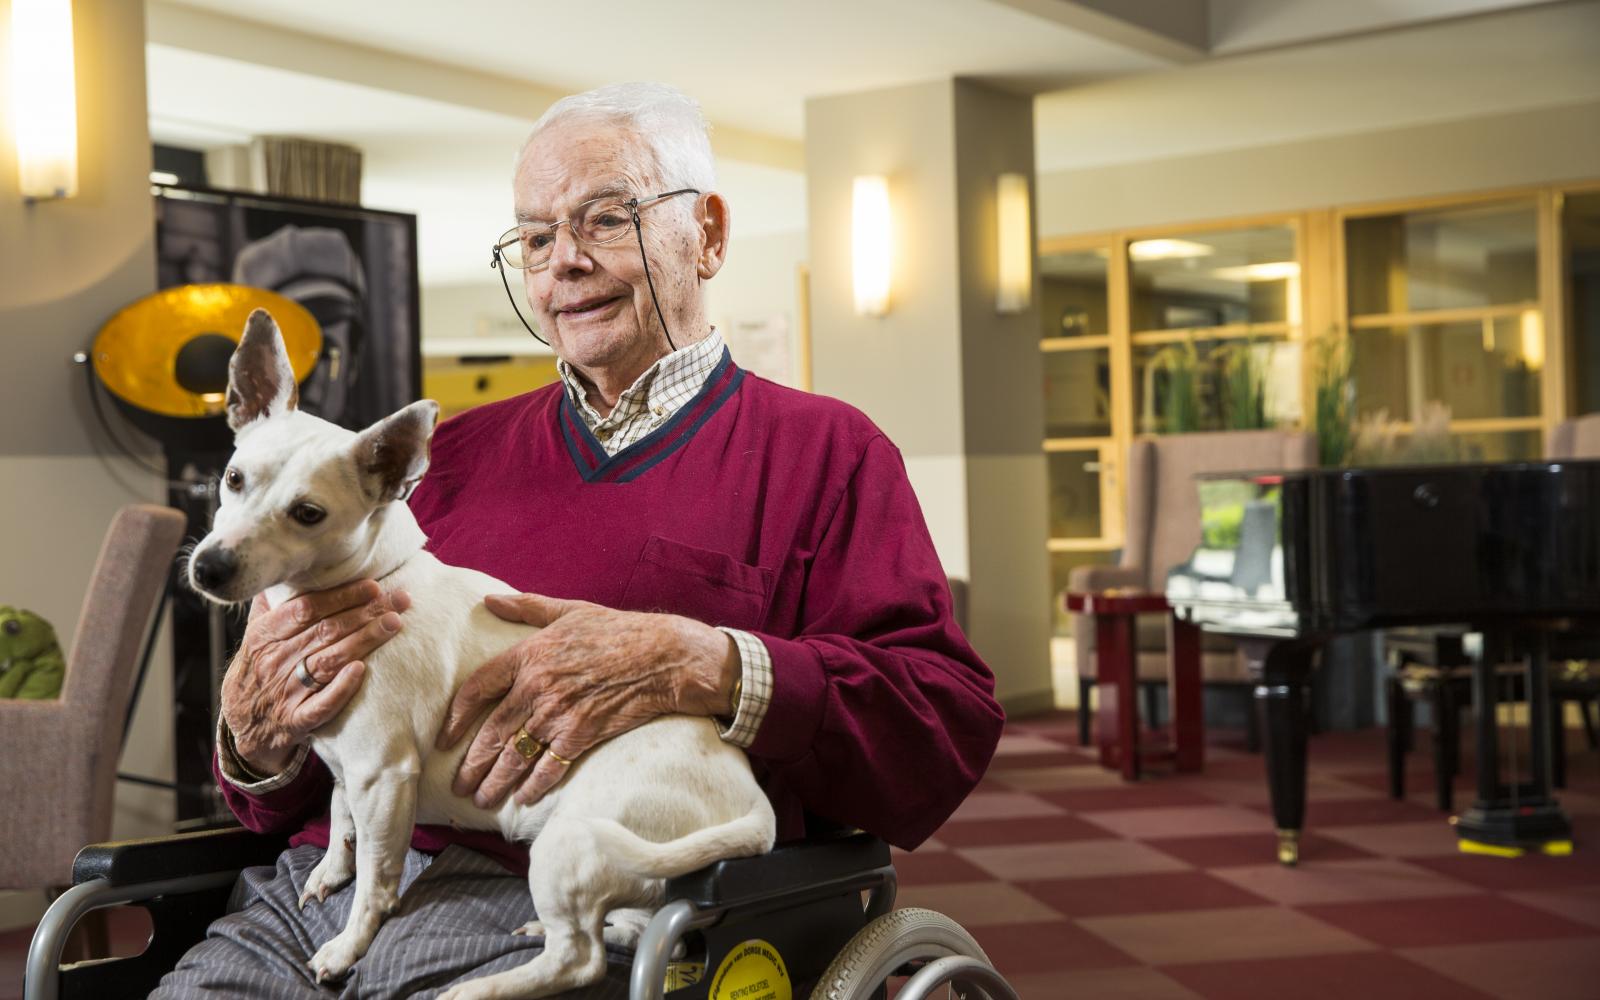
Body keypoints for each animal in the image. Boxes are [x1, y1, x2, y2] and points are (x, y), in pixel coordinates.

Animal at [187, 308, 774, 992]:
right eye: (233, 479)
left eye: (308, 513)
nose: (208, 567)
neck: (371, 579)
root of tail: (755, 811)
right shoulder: (350, 768)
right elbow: (338, 814)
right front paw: (331, 867)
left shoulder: (384, 775)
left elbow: (375, 882)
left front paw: (346, 945)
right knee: (625, 928)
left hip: (569, 844)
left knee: (579, 960)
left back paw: (477, 988)